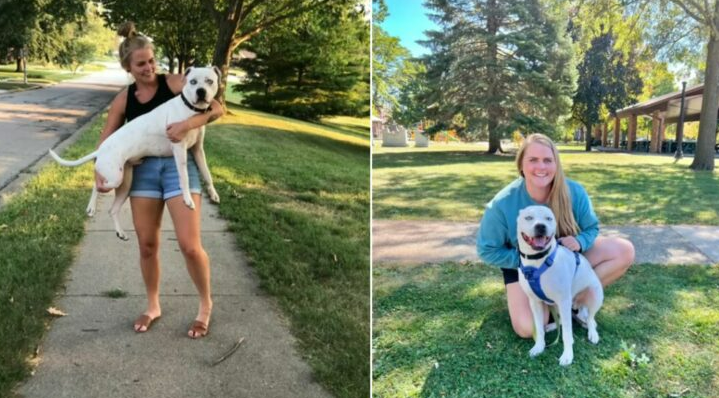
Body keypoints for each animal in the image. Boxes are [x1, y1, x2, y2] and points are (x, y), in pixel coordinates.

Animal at [48, 66, 221, 239]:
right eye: (193, 81)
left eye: (209, 81)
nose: (201, 91)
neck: (189, 110)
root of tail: (100, 150)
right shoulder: (179, 149)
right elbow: (184, 177)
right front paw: (187, 199)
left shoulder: (198, 150)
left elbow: (207, 174)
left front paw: (213, 193)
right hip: (115, 178)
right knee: (97, 185)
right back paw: (91, 207)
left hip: (125, 185)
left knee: (112, 209)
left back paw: (120, 232)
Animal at [516, 207, 600, 366]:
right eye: (528, 217)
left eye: (548, 218)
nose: (540, 226)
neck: (538, 260)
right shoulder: (535, 302)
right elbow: (538, 328)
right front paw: (539, 346)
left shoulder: (564, 300)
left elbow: (567, 334)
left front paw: (567, 355)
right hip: (558, 306)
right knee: (562, 320)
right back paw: (550, 326)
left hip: (594, 296)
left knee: (591, 319)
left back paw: (593, 333)